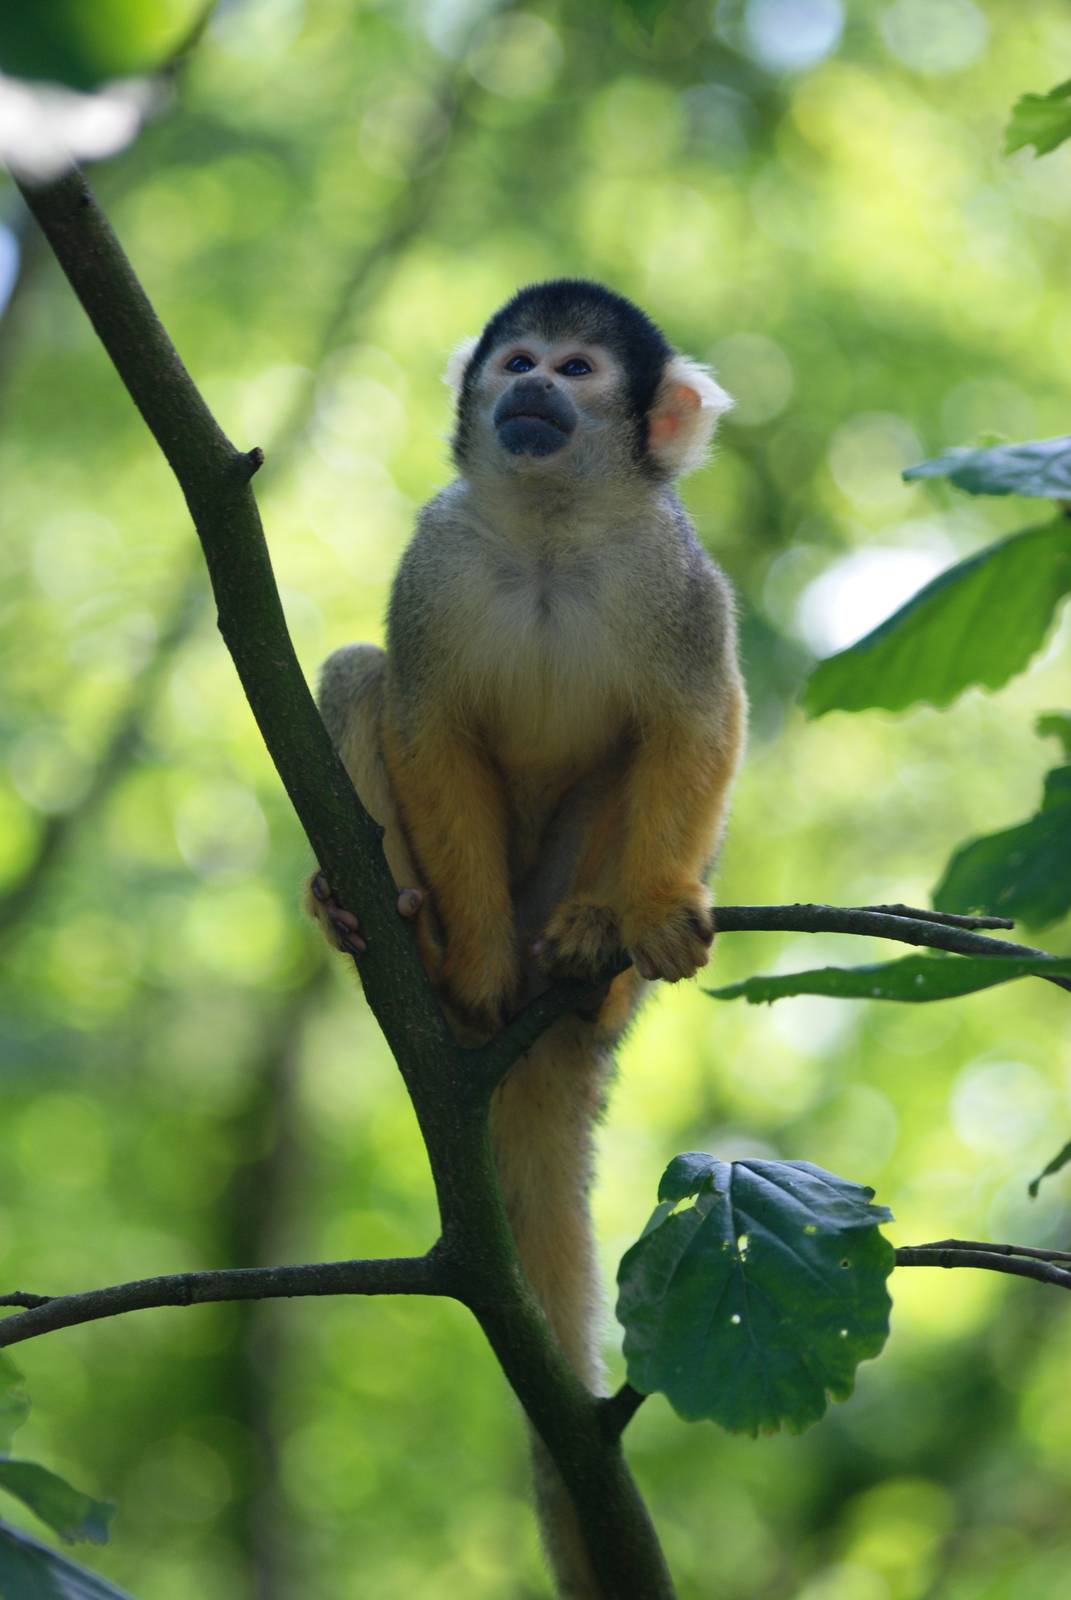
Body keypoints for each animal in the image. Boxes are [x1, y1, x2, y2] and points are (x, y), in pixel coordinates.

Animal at [307, 279, 746, 1597]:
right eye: (516, 362)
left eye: (580, 369)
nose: (532, 390)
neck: (554, 524)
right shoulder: (434, 557)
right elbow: (425, 718)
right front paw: (479, 964)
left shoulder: (678, 575)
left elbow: (698, 719)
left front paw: (651, 908)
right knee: (359, 672)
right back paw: (397, 933)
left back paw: (592, 958)